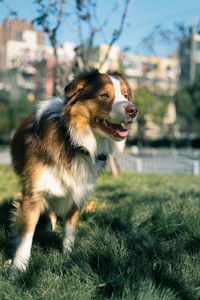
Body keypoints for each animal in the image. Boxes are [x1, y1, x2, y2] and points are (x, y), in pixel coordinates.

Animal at [9, 69, 138, 272]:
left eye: (126, 96)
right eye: (104, 95)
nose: (133, 109)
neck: (75, 140)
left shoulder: (79, 189)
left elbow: (70, 230)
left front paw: (68, 257)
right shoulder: (33, 194)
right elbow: (26, 235)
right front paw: (18, 269)